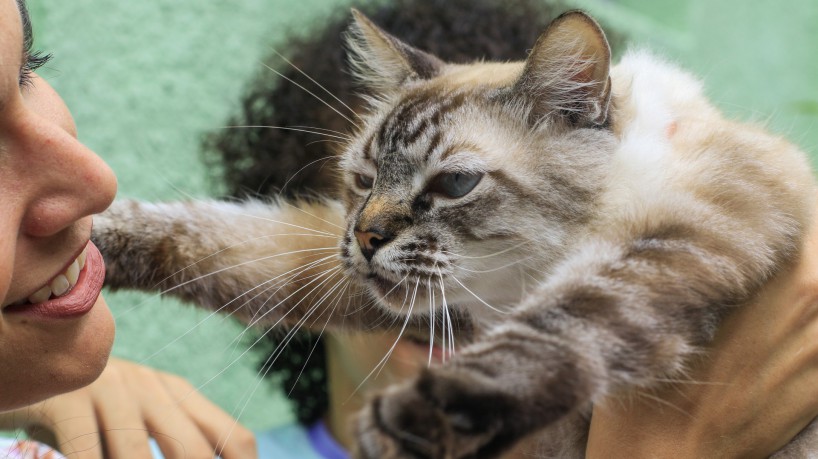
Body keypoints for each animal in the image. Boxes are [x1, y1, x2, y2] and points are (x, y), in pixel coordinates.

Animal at [92, 9, 816, 458]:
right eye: (362, 181)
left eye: (455, 184)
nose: (367, 238)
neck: (520, 282)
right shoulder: (389, 290)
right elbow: (221, 238)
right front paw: (93, 238)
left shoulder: (675, 239)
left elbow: (555, 330)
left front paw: (409, 419)